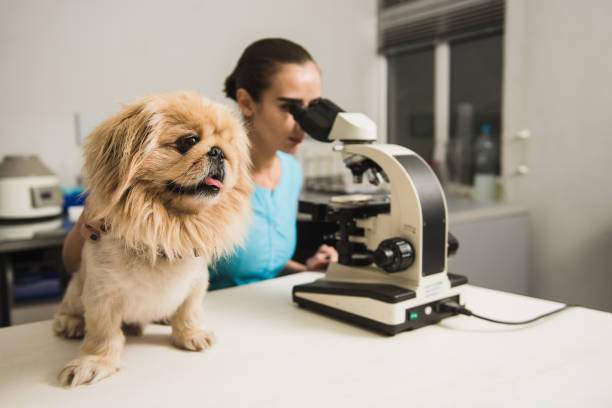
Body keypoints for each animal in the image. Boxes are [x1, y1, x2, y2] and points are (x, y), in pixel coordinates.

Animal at [52, 91, 252, 388]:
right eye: (189, 141)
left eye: (229, 147)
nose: (218, 151)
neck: (168, 224)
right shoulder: (101, 294)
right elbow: (103, 333)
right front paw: (94, 362)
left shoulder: (195, 283)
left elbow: (189, 311)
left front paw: (191, 335)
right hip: (77, 288)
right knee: (68, 308)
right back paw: (71, 323)